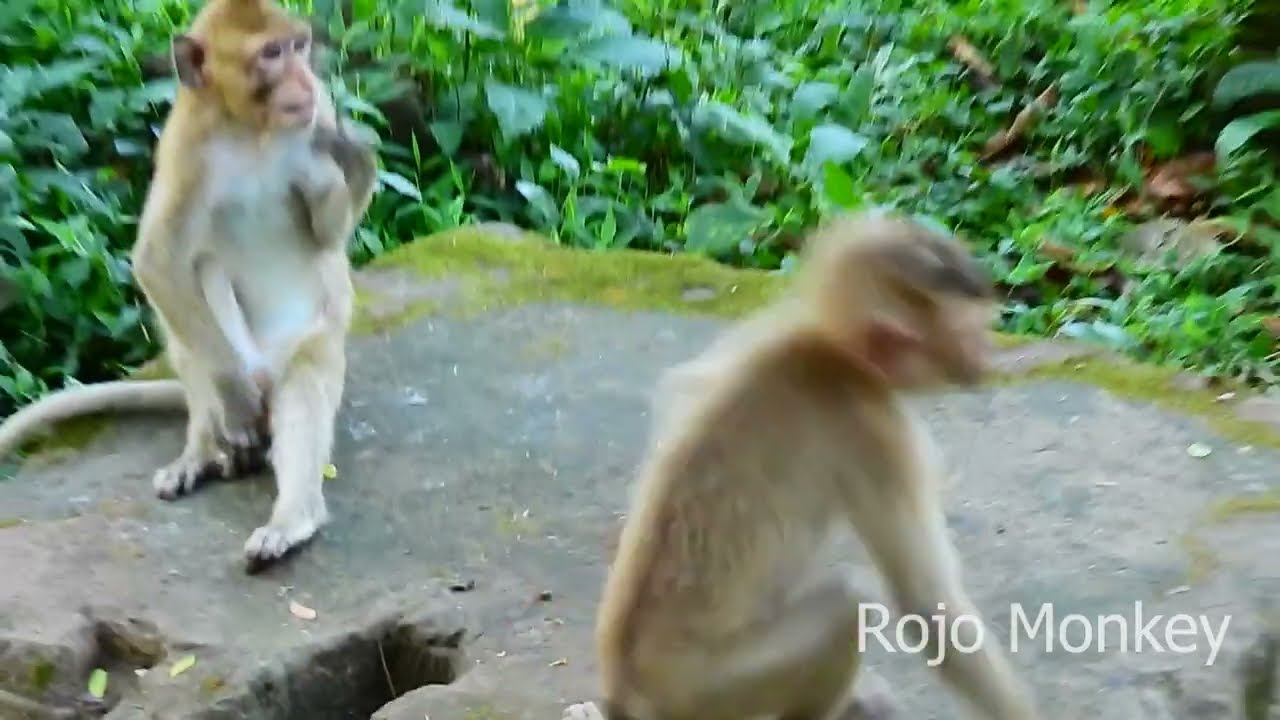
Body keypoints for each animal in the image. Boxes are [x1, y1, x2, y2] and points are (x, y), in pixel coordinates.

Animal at [0, 0, 378, 573]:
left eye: (298, 46)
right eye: (272, 54)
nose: (304, 79)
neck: (250, 132)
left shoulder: (322, 121)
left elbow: (327, 238)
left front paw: (354, 163)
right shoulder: (186, 148)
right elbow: (159, 260)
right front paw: (231, 400)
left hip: (304, 348)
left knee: (304, 392)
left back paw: (292, 519)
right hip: (235, 356)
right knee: (199, 287)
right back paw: (204, 447)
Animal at [562, 211, 1041, 720]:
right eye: (971, 335)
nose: (983, 361)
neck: (833, 351)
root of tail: (624, 690)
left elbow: (679, 396)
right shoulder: (873, 426)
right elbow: (928, 604)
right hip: (706, 692)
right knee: (847, 601)